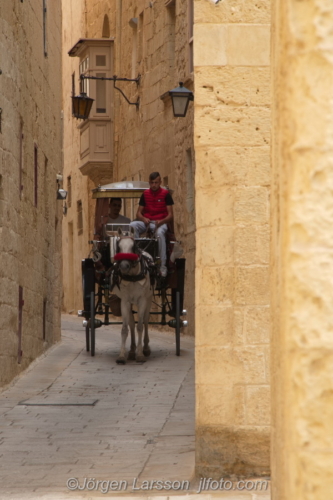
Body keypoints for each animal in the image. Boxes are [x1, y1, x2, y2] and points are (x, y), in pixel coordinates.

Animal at [111, 229, 153, 364]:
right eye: (118, 246)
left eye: (133, 246)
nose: (124, 266)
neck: (133, 276)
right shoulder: (125, 301)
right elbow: (125, 328)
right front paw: (122, 355)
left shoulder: (142, 300)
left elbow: (140, 326)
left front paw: (140, 354)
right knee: (131, 323)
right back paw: (132, 351)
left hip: (149, 299)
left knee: (145, 321)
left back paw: (145, 348)